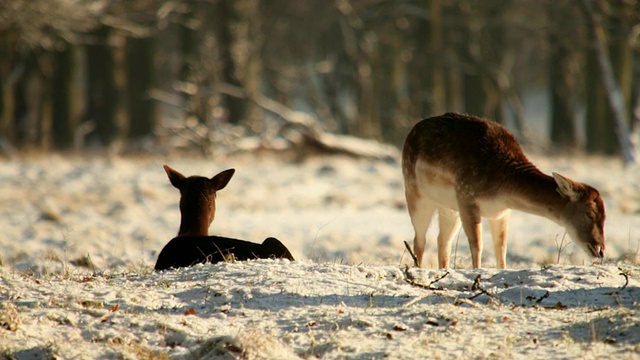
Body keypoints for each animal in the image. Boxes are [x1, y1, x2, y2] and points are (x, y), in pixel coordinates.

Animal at [402, 112, 608, 268]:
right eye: (589, 213)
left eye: (605, 216)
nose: (600, 250)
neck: (502, 188)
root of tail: (411, 131)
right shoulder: (467, 197)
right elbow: (477, 244)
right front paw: (477, 271)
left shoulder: (502, 212)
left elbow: (501, 248)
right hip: (415, 194)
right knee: (419, 240)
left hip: (448, 208)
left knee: (442, 242)